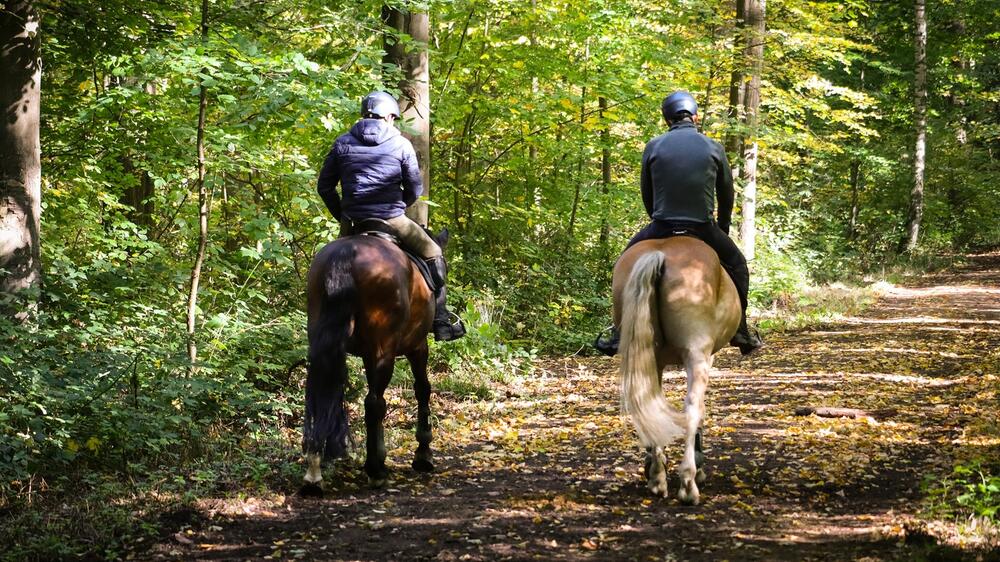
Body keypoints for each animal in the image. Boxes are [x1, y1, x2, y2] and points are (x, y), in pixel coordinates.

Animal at [296, 229, 446, 490]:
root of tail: (346, 253)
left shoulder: (368, 353)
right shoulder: (417, 346)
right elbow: (422, 389)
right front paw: (423, 453)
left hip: (324, 341)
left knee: (323, 391)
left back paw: (314, 472)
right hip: (384, 350)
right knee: (374, 403)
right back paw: (375, 470)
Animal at [608, 236, 744, 504]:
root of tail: (659, 254)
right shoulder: (707, 356)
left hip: (648, 353)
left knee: (648, 400)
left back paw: (657, 478)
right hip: (696, 353)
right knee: (692, 406)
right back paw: (689, 483)